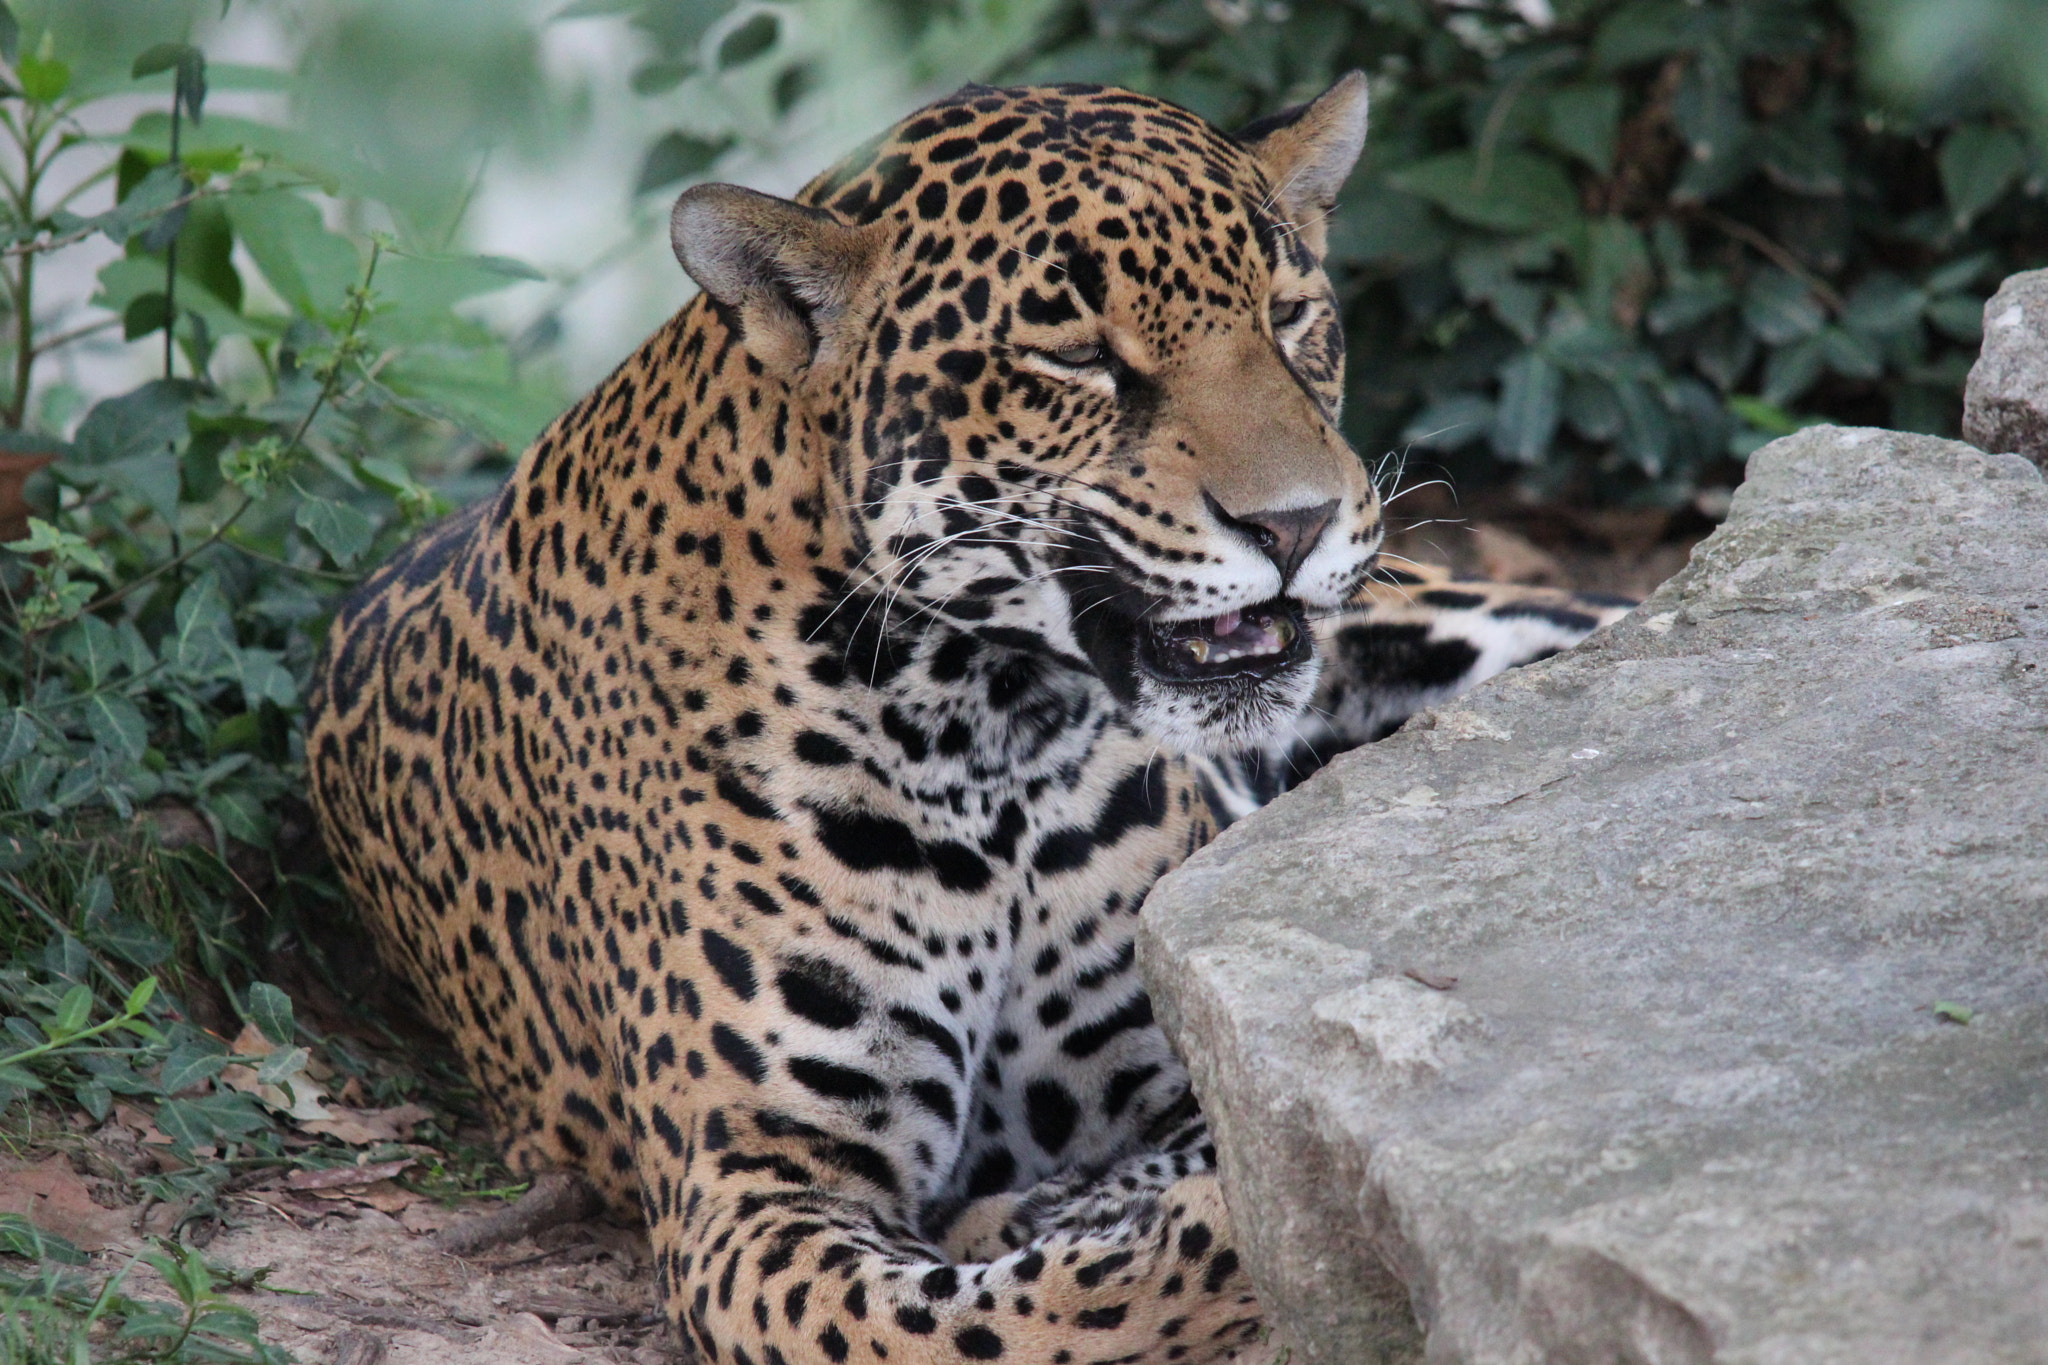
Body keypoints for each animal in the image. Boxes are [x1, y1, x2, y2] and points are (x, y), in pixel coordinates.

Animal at [306, 73, 1630, 1365]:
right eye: (1078, 357)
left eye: (1292, 315)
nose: (1299, 524)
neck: (985, 724)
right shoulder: (747, 1185)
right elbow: (1024, 1312)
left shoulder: (1184, 1033)